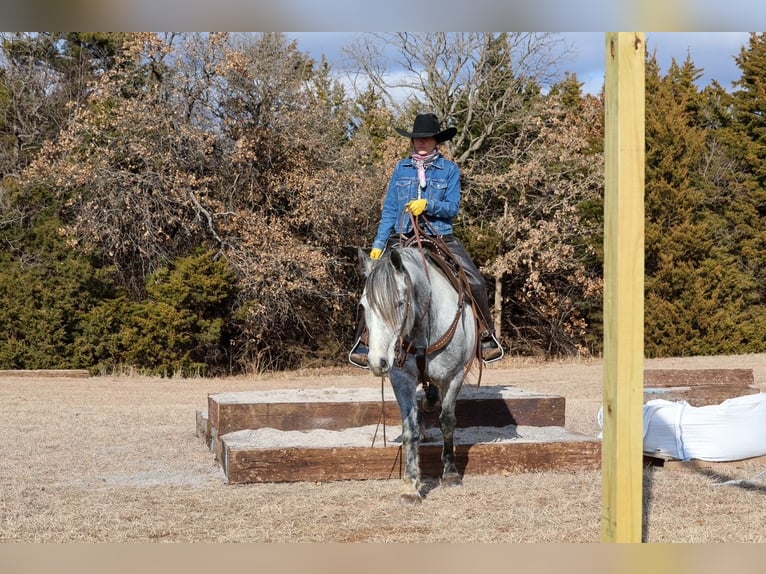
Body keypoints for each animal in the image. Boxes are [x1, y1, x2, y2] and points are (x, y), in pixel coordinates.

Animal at [358, 244, 479, 504]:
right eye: (363, 306)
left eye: (400, 302)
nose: (378, 362)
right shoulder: (401, 379)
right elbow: (410, 429)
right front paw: (410, 485)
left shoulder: (454, 377)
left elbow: (447, 422)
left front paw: (451, 474)